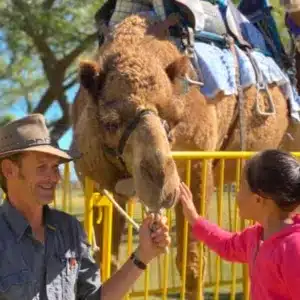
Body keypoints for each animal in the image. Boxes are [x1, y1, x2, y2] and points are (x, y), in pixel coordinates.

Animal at [71, 14, 300, 300]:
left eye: (172, 118)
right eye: (111, 123)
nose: (161, 185)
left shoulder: (198, 164)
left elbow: (192, 262)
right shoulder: (97, 181)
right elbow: (105, 263)